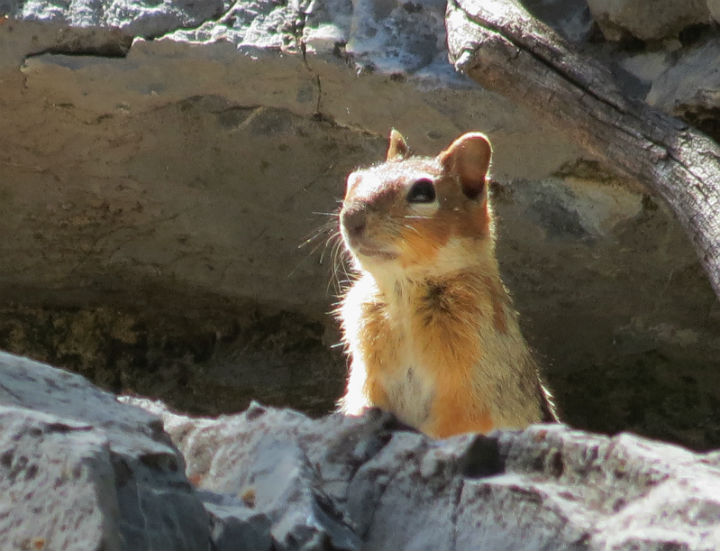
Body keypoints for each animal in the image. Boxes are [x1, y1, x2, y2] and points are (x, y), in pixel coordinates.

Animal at [336, 130, 556, 440]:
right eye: (354, 179)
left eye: (423, 192)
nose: (351, 218)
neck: (403, 293)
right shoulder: (368, 378)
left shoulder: (473, 386)